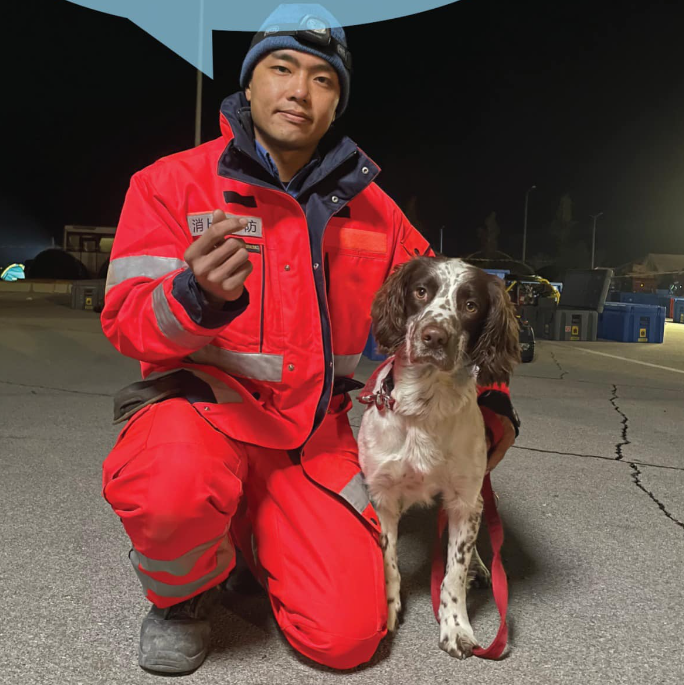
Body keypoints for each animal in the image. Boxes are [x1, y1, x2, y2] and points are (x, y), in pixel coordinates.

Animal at [358, 255, 520, 656]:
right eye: (420, 291)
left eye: (471, 305)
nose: (434, 336)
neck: (424, 407)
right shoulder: (383, 494)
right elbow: (388, 558)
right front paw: (389, 608)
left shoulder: (465, 499)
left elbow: (453, 572)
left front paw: (456, 626)